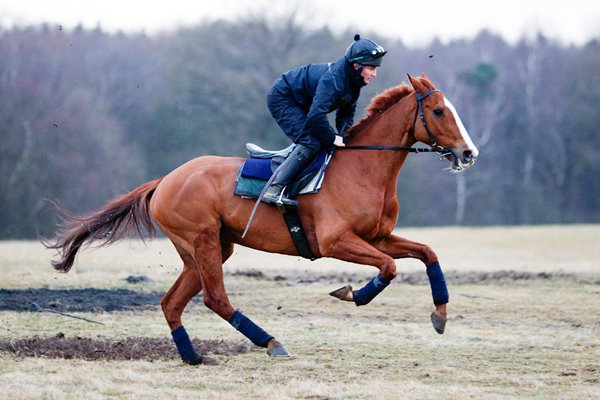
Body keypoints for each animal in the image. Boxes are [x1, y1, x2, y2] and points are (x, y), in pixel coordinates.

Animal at [44, 73, 478, 364]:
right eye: (438, 110)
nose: (468, 153)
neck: (364, 168)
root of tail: (165, 179)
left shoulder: (377, 237)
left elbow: (427, 253)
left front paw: (440, 315)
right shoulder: (335, 241)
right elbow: (388, 268)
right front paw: (353, 293)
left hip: (208, 248)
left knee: (172, 303)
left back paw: (193, 356)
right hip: (202, 240)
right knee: (215, 298)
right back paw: (270, 342)